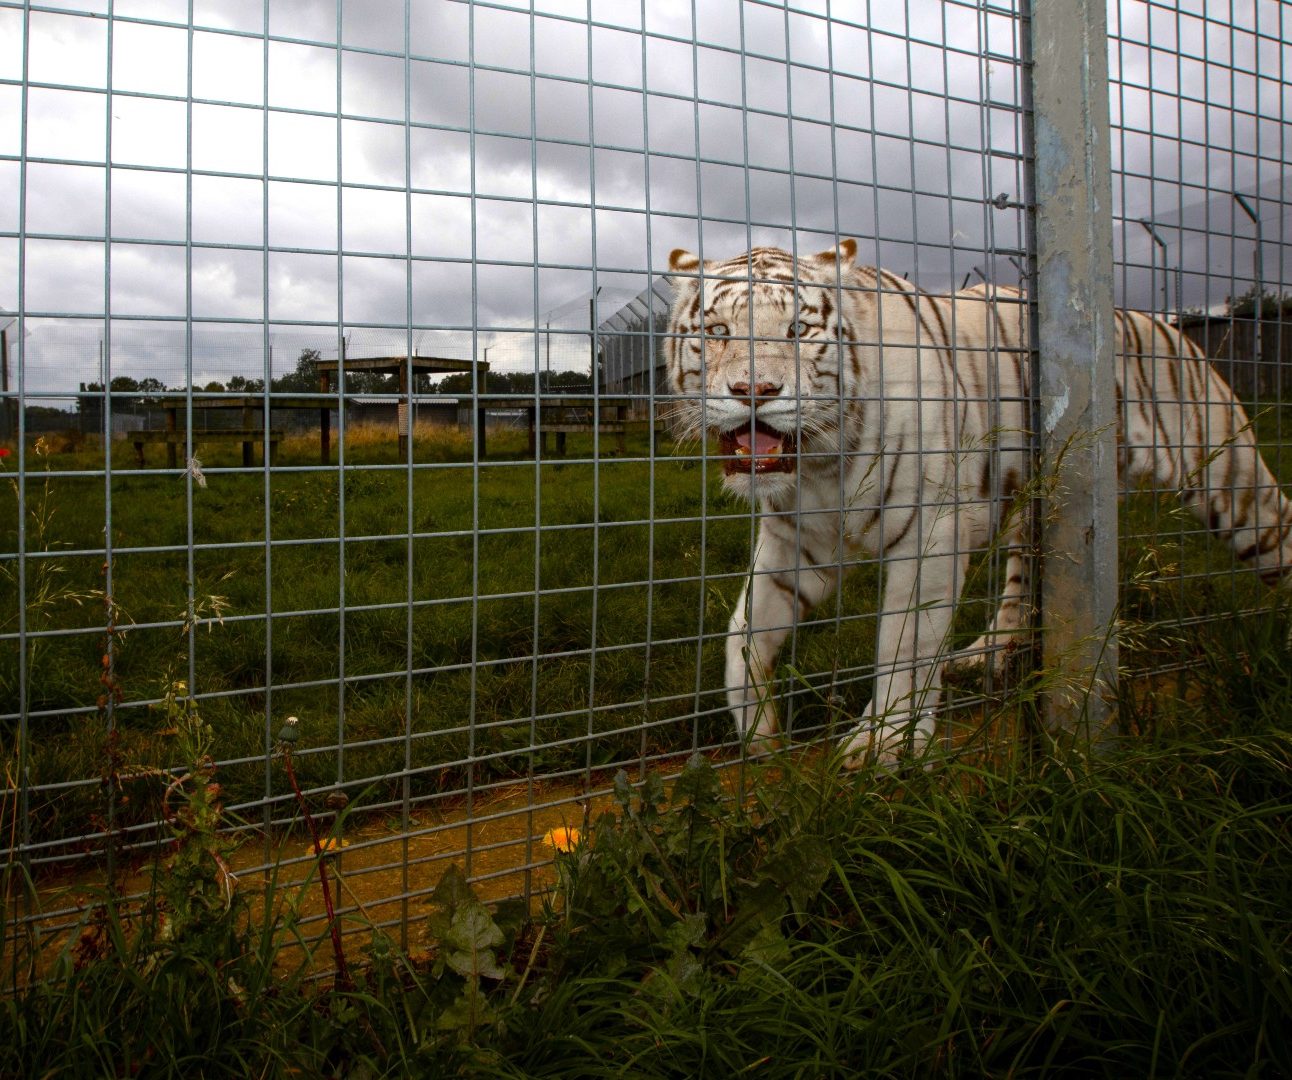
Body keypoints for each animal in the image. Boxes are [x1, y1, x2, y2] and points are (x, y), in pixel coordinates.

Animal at [666, 240, 1292, 764]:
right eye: (718, 330)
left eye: (799, 330)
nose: (754, 392)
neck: (819, 464)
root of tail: (1163, 323)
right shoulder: (797, 542)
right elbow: (744, 632)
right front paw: (759, 732)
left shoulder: (928, 535)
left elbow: (905, 647)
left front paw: (883, 746)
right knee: (1024, 580)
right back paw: (985, 654)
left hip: (1229, 480)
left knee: (1277, 530)